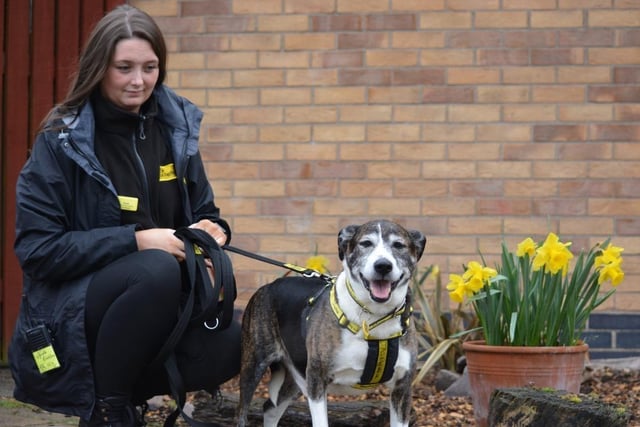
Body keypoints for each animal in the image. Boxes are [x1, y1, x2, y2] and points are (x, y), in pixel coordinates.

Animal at [235, 221, 424, 427]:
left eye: (398, 245)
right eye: (366, 243)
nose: (383, 266)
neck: (374, 317)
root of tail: (267, 286)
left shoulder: (402, 388)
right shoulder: (317, 380)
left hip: (296, 375)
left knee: (270, 408)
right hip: (253, 364)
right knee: (242, 412)